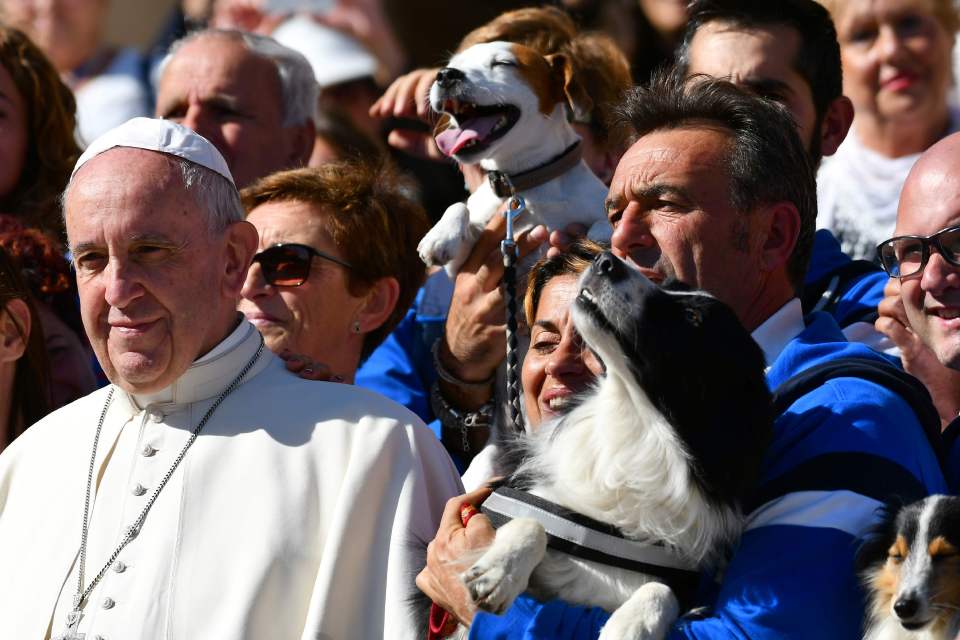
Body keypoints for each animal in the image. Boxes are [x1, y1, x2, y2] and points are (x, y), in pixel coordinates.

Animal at [462, 252, 776, 636]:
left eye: (692, 318)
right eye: (669, 285)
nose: (606, 260)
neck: (636, 424)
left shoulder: (682, 582)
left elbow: (661, 589)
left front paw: (631, 626)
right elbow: (532, 522)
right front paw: (498, 572)